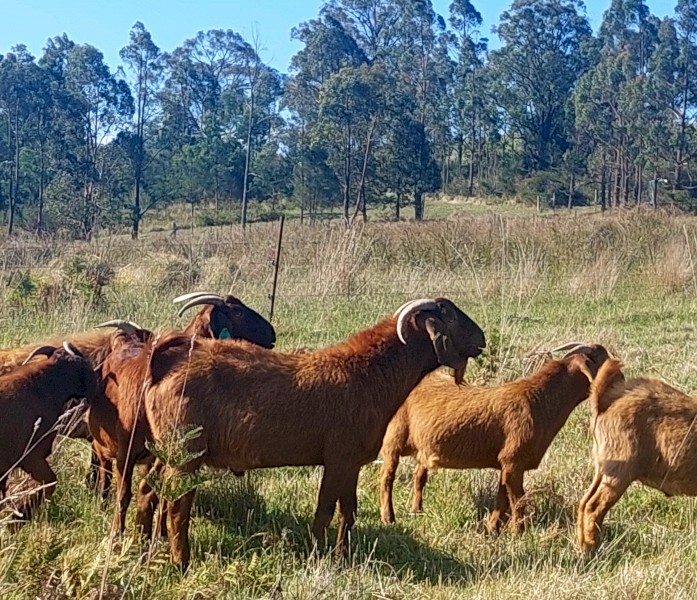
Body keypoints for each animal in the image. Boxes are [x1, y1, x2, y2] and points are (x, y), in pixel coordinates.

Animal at [136, 297, 485, 570]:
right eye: (448, 314)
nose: (481, 338)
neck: (367, 373)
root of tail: (167, 364)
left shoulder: (351, 463)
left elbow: (348, 510)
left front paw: (343, 555)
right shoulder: (338, 459)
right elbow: (325, 511)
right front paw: (318, 553)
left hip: (168, 450)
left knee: (149, 488)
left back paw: (147, 544)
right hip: (186, 454)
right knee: (178, 505)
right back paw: (181, 562)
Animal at [379, 343, 609, 532]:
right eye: (603, 361)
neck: (538, 401)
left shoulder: (507, 463)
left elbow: (502, 497)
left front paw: (493, 529)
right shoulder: (513, 461)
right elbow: (518, 500)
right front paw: (518, 533)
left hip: (423, 447)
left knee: (419, 475)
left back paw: (416, 510)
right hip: (393, 436)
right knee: (386, 477)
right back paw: (388, 518)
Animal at [576, 358, 697, 554]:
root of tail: (605, 402)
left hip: (603, 466)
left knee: (584, 503)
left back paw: (584, 546)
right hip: (620, 468)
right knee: (594, 506)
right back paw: (592, 548)